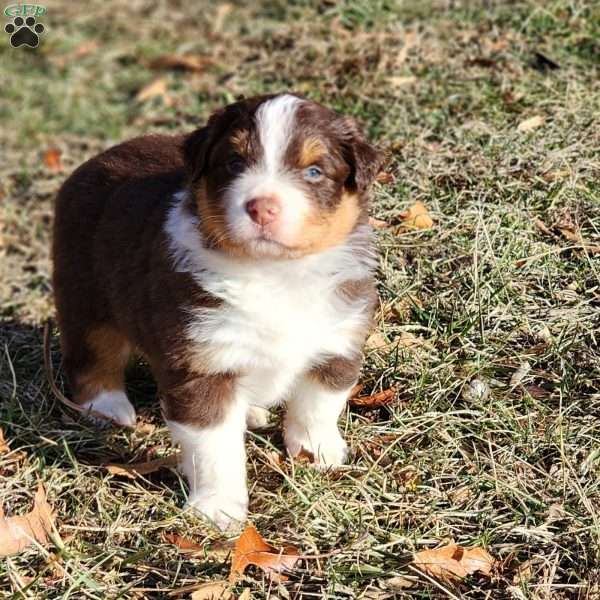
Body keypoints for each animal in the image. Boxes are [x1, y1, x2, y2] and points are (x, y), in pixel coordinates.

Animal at [50, 91, 380, 528]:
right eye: (234, 163)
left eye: (314, 171)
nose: (262, 207)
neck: (275, 273)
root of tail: (96, 159)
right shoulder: (200, 364)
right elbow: (214, 448)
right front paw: (218, 508)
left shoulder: (338, 338)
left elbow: (319, 404)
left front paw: (318, 452)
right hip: (85, 293)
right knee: (92, 355)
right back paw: (107, 407)